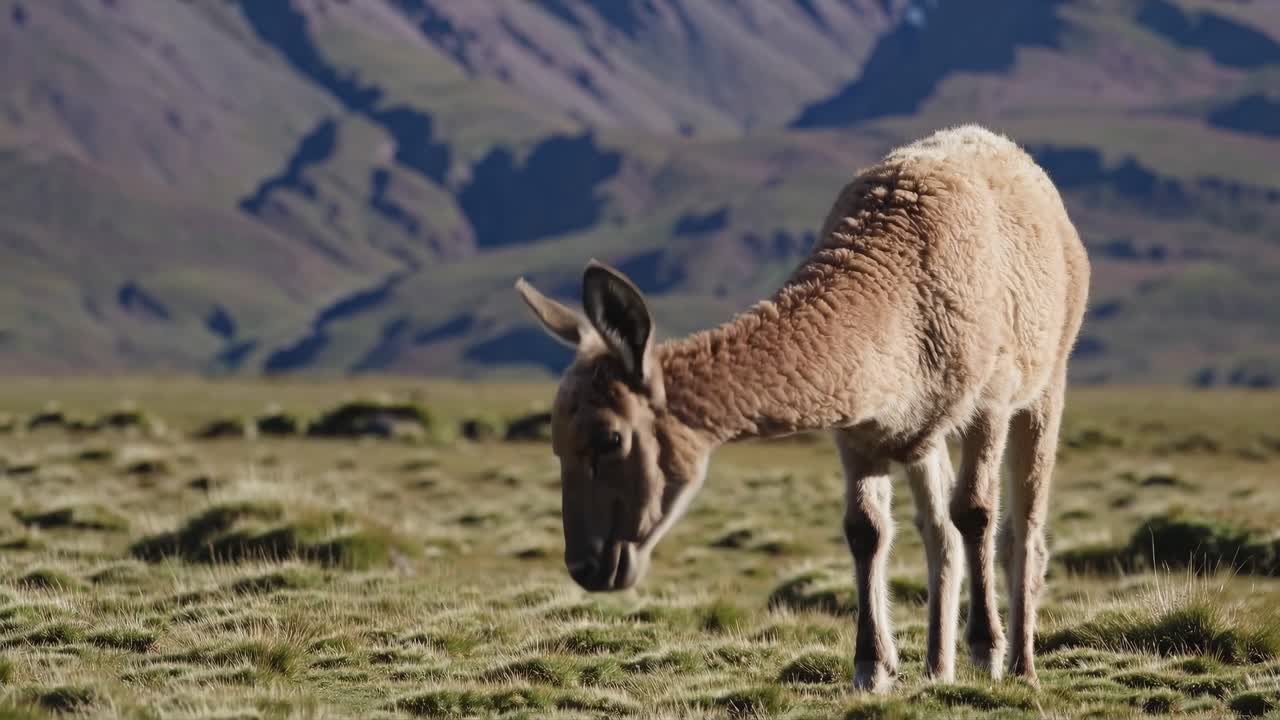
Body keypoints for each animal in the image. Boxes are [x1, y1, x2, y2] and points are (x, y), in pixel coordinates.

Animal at [514, 124, 1090, 690]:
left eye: (610, 439)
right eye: (556, 444)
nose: (586, 565)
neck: (901, 296)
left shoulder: (989, 402)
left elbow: (976, 513)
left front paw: (986, 650)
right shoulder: (861, 430)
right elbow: (867, 531)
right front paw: (872, 667)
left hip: (1047, 381)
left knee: (1022, 529)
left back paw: (1020, 666)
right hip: (921, 435)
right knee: (938, 533)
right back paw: (936, 669)